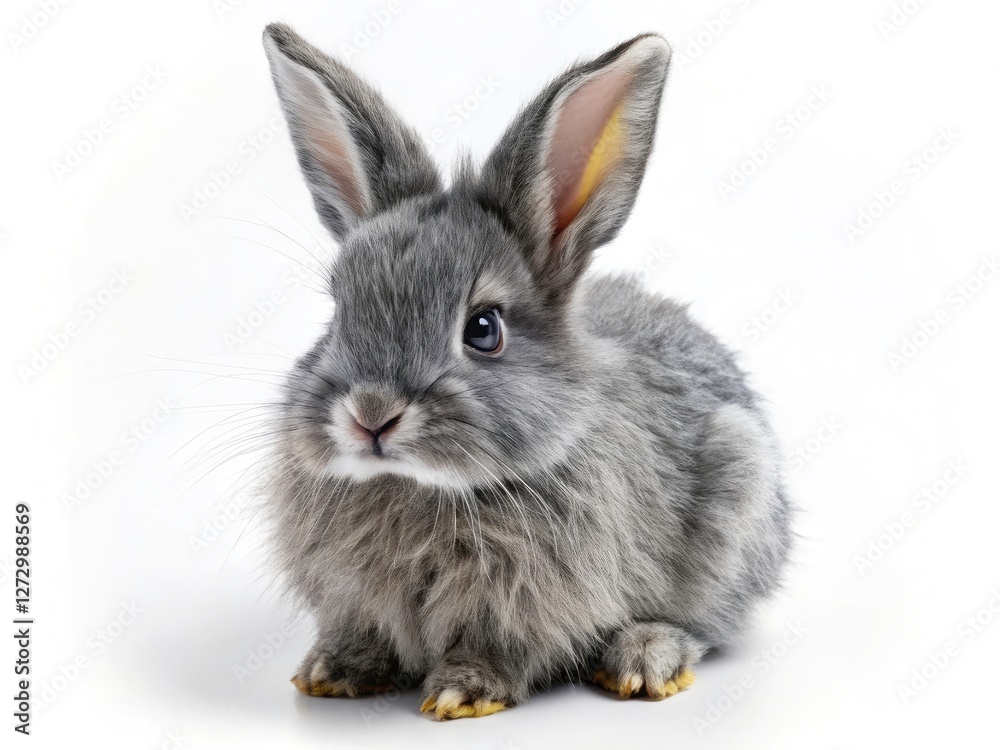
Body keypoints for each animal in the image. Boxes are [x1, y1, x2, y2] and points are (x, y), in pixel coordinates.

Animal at [260, 22, 792, 720]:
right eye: (339, 310)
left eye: (484, 329)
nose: (371, 413)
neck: (425, 487)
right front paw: (333, 671)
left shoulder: (525, 604)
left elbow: (501, 648)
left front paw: (463, 691)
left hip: (736, 502)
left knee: (704, 621)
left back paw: (644, 659)